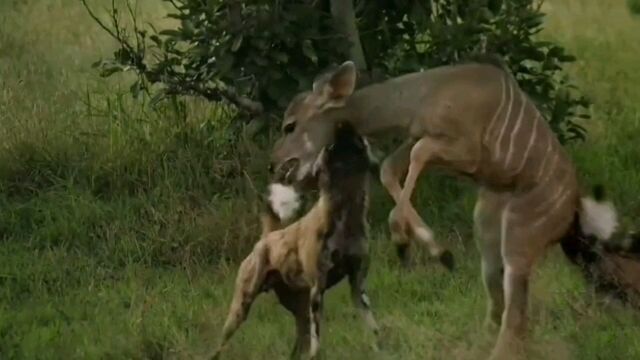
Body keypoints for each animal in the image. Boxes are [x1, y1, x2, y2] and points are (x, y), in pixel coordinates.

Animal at [268, 57, 628, 358]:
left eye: (291, 125)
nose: (275, 164)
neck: (421, 97)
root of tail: (572, 212)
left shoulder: (463, 150)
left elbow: (413, 159)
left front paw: (409, 242)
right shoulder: (420, 137)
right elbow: (389, 167)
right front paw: (431, 250)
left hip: (520, 235)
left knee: (515, 314)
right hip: (488, 229)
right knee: (503, 302)